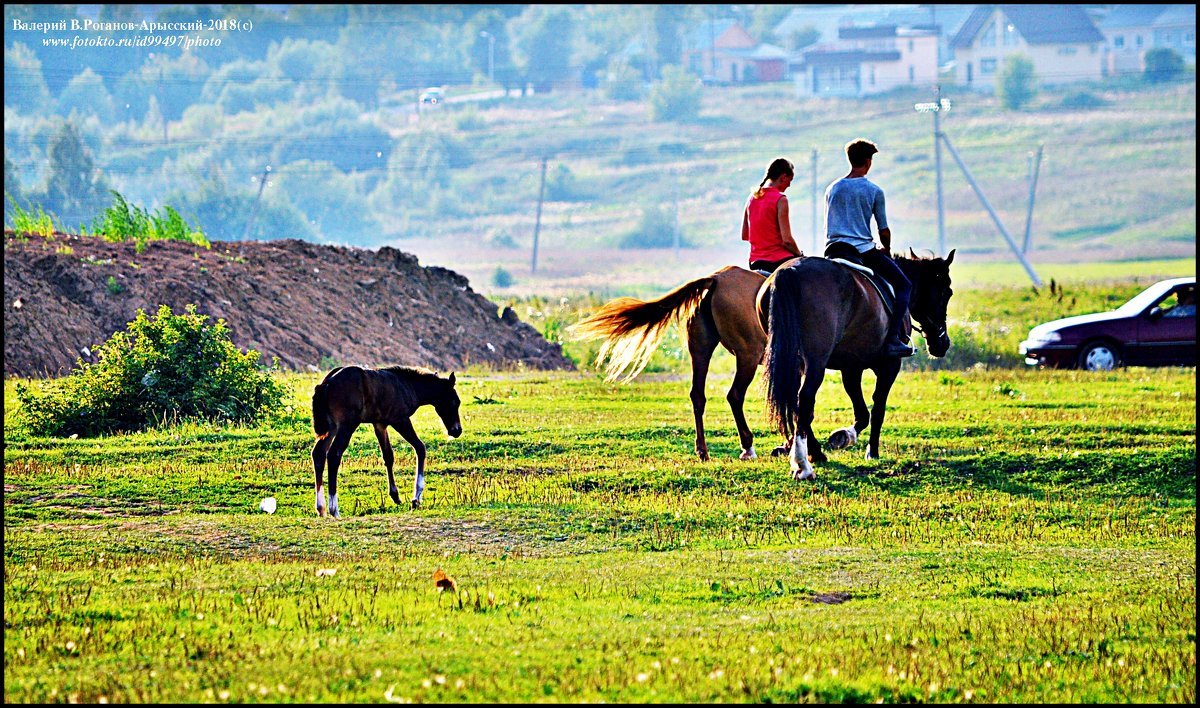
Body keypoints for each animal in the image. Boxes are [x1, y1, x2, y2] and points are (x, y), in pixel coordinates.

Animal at [309, 367, 463, 516]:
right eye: (455, 401)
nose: (457, 430)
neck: (408, 386)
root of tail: (326, 384)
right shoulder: (401, 420)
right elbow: (420, 448)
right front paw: (416, 498)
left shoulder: (380, 424)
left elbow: (388, 456)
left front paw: (395, 495)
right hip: (347, 425)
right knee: (334, 454)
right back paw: (334, 509)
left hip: (331, 427)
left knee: (318, 454)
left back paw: (321, 508)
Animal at [568, 265, 792, 460]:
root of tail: (716, 279)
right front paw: (789, 444)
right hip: (747, 354)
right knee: (735, 395)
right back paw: (747, 447)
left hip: (700, 350)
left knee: (698, 395)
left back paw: (702, 450)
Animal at [758, 250, 955, 482]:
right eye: (946, 292)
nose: (943, 343)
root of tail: (790, 271)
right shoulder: (889, 365)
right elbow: (877, 408)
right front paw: (871, 451)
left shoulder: (851, 367)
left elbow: (862, 411)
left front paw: (843, 436)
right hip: (816, 360)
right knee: (804, 398)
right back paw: (803, 464)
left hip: (793, 359)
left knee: (795, 401)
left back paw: (815, 453)